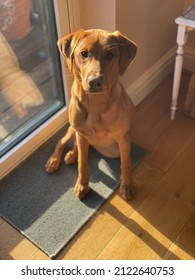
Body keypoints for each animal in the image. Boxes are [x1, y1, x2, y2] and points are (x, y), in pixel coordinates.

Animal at [45, 28, 137, 200]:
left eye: (110, 55)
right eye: (84, 53)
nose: (95, 81)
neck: (95, 104)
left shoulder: (123, 138)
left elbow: (126, 163)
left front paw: (127, 185)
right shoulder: (81, 133)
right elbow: (83, 162)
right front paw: (82, 184)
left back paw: (71, 154)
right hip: (73, 130)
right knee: (61, 141)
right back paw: (54, 160)